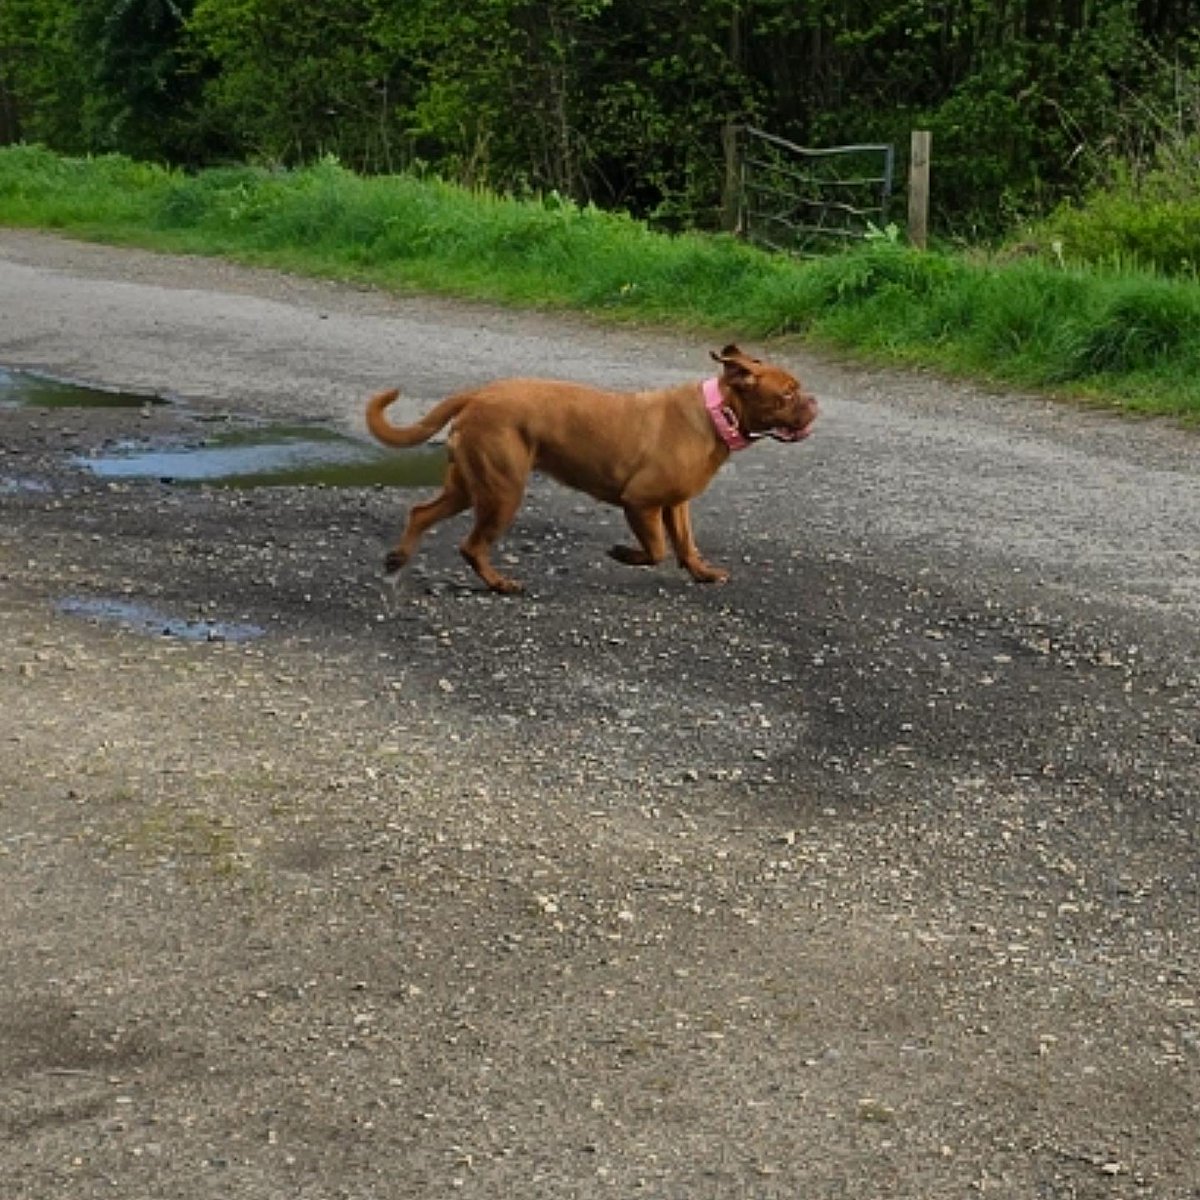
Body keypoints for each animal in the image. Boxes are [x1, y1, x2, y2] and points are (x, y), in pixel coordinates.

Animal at [364, 345, 816, 592]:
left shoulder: (676, 505)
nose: (813, 402)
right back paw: (499, 584)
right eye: (787, 394)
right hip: (502, 491)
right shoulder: (641, 503)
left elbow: (686, 545)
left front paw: (702, 573)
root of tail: (477, 395)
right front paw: (623, 553)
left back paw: (399, 558)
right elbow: (657, 549)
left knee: (421, 514)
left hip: (468, 487)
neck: (717, 413)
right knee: (471, 545)